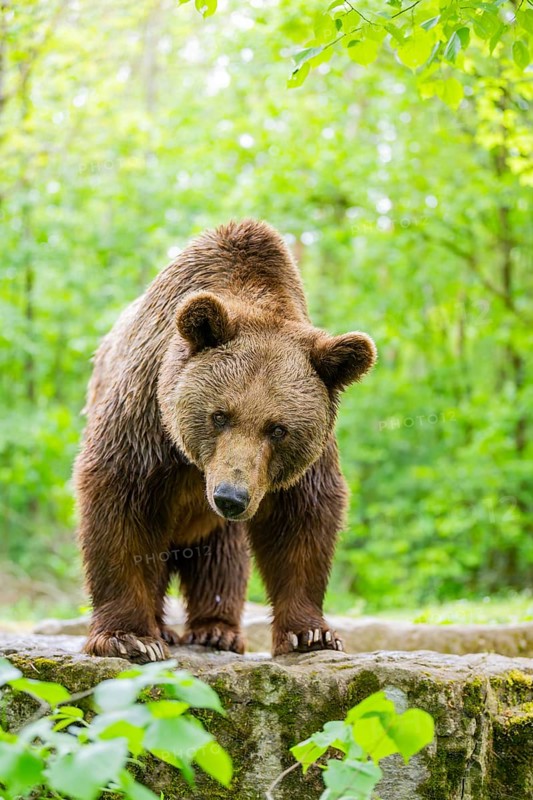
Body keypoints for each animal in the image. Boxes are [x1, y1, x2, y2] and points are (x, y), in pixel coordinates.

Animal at [75, 219, 377, 662]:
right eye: (220, 415)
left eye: (278, 428)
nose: (230, 497)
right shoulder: (145, 418)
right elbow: (118, 504)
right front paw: (128, 637)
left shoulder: (301, 460)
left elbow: (303, 518)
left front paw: (311, 634)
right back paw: (165, 629)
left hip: (214, 523)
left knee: (222, 559)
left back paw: (217, 630)